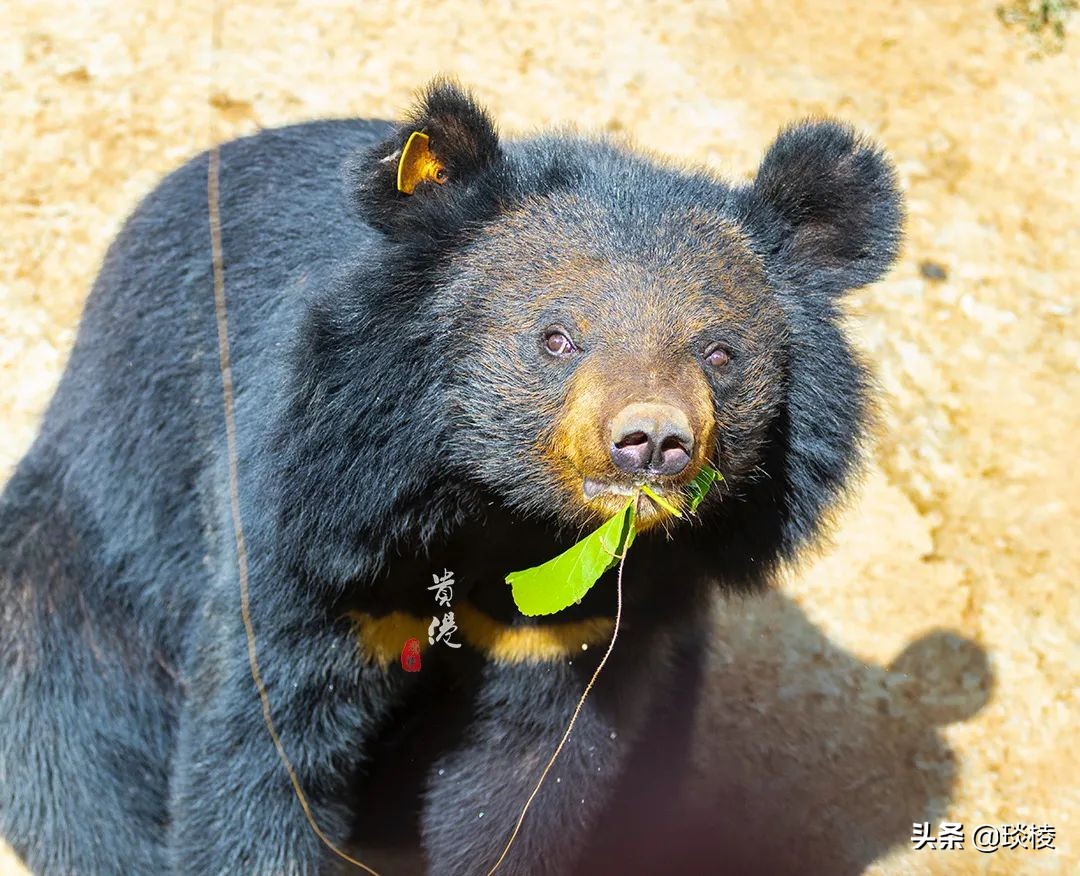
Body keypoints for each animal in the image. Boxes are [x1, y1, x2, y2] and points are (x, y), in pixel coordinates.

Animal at [0, 83, 902, 876]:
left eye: (719, 353)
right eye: (556, 337)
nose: (651, 443)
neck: (497, 507)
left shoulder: (588, 614)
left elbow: (527, 775)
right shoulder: (313, 521)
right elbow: (263, 740)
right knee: (62, 718)